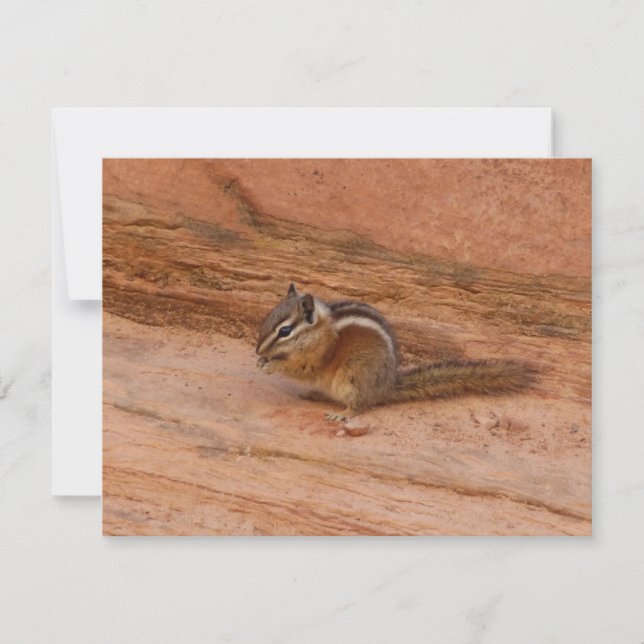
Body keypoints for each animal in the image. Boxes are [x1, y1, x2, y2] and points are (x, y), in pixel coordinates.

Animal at [256, 283, 534, 422]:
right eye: (268, 318)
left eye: (285, 331)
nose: (257, 348)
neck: (320, 331)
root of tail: (386, 387)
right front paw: (261, 359)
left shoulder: (319, 357)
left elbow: (301, 369)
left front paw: (271, 365)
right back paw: (315, 395)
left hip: (353, 377)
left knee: (360, 405)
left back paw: (342, 414)